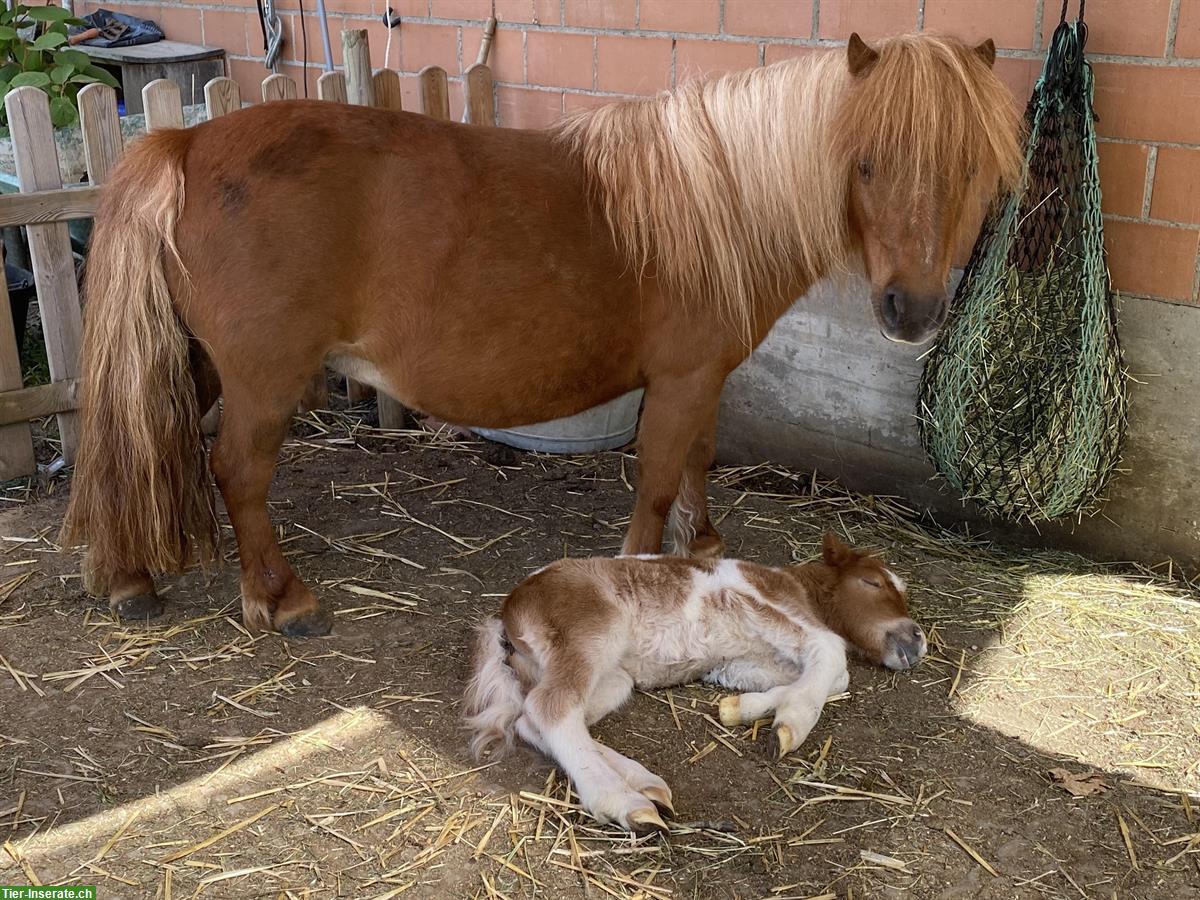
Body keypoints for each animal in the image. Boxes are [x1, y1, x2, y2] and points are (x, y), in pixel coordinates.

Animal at [60, 33, 1017, 633]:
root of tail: (184, 144)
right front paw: (647, 572)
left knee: (138, 449)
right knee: (237, 472)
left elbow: (700, 460)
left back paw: (129, 578)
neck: (721, 197)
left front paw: (705, 546)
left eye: (971, 165)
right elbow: (659, 478)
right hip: (263, 379)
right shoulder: (680, 378)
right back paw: (280, 597)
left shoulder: (705, 374)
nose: (911, 310)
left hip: (199, 362)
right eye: (866, 161)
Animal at [468, 532, 926, 835]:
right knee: (550, 708)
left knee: (536, 720)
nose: (917, 637)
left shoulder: (741, 663)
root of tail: (508, 614)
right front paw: (790, 724)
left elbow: (830, 676)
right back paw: (623, 801)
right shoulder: (766, 606)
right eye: (872, 582)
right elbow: (832, 651)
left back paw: (644, 783)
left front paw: (741, 708)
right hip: (590, 634)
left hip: (612, 678)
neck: (797, 588)